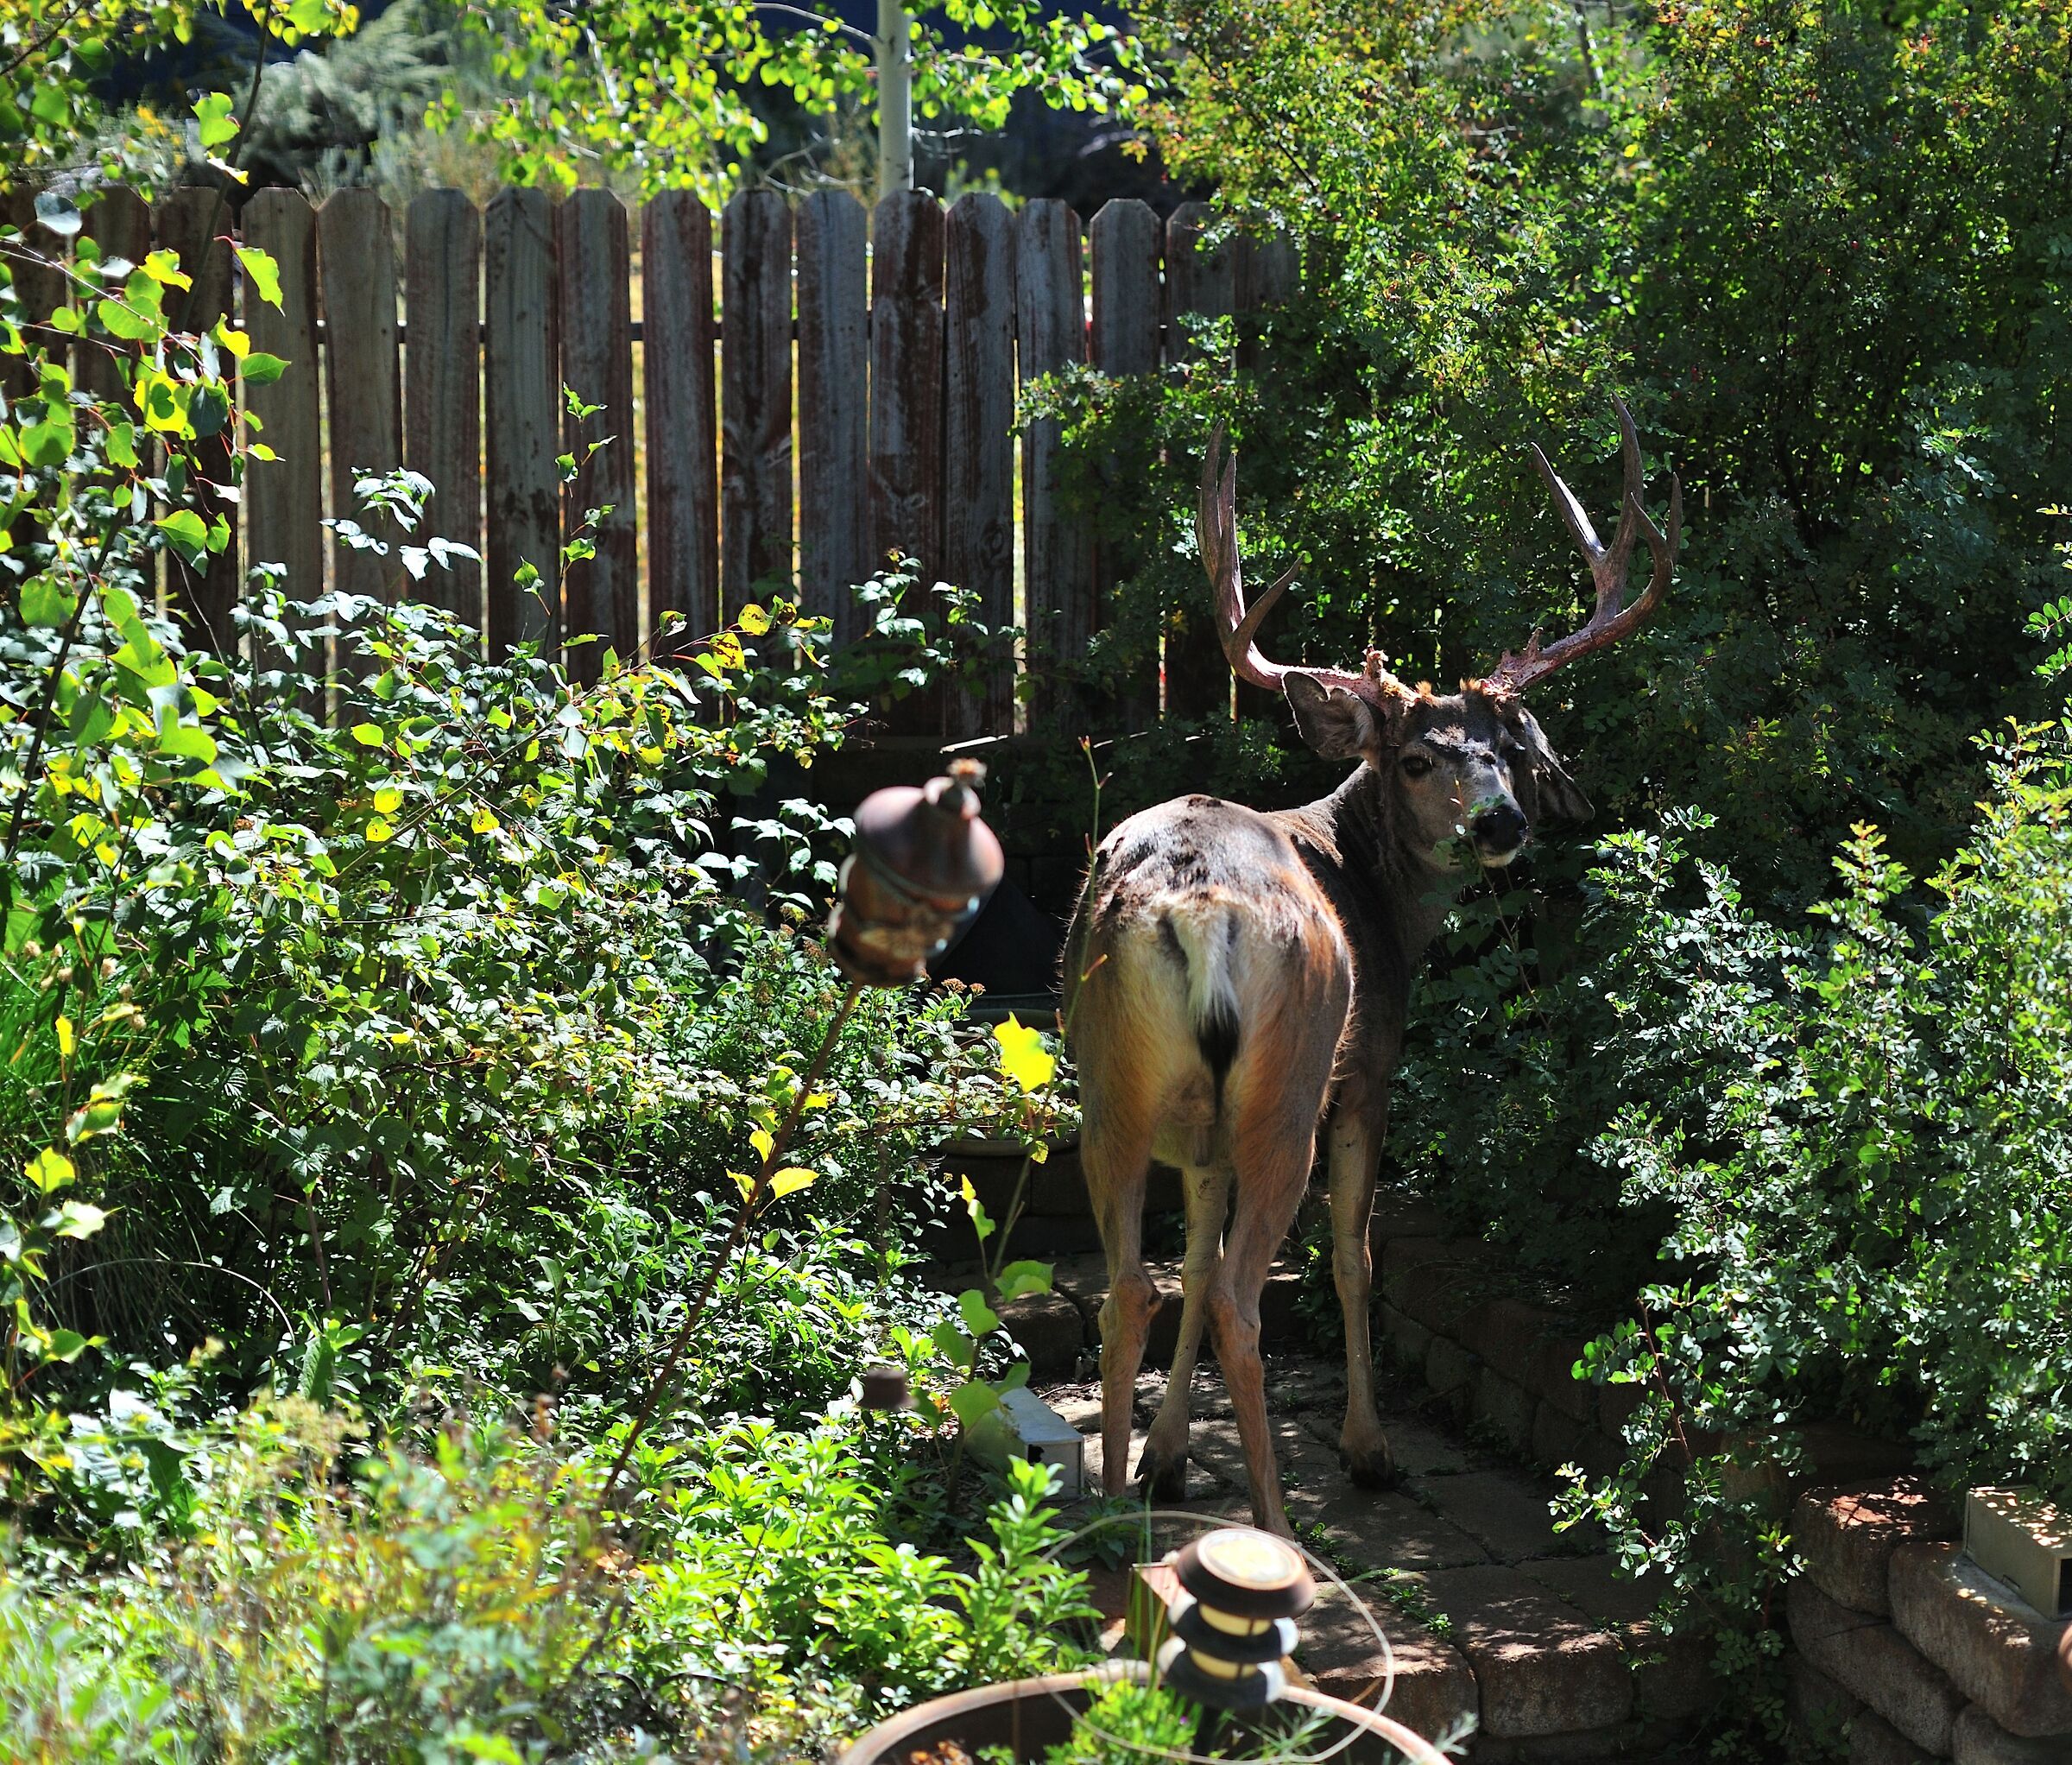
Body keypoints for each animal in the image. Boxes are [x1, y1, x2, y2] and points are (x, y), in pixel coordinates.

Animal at [1062, 397, 1681, 1536]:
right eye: (1419, 757)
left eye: (1510, 752)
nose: (1504, 822)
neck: (1371, 885)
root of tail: (1200, 903)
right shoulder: (1371, 1071)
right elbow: (1354, 1260)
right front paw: (1369, 1446)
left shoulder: (1201, 1134)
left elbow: (1194, 1251)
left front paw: (1169, 1455)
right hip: (1292, 1079)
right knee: (1243, 1291)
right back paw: (1277, 1529)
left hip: (1111, 1081)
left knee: (1137, 1284)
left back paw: (1119, 1518)